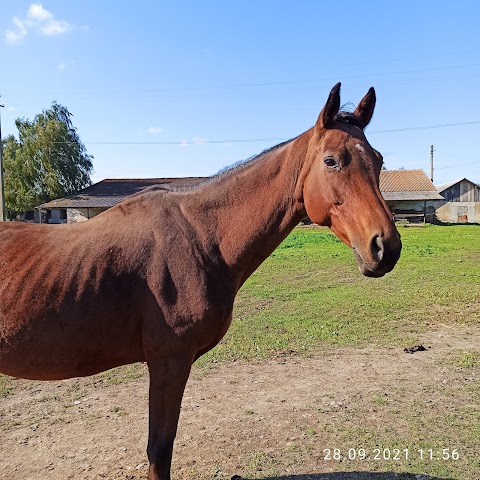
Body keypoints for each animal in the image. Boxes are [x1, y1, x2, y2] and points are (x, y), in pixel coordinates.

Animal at [0, 84, 402, 478]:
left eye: (379, 160)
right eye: (331, 161)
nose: (386, 247)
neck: (198, 238)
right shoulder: (169, 361)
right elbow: (159, 450)